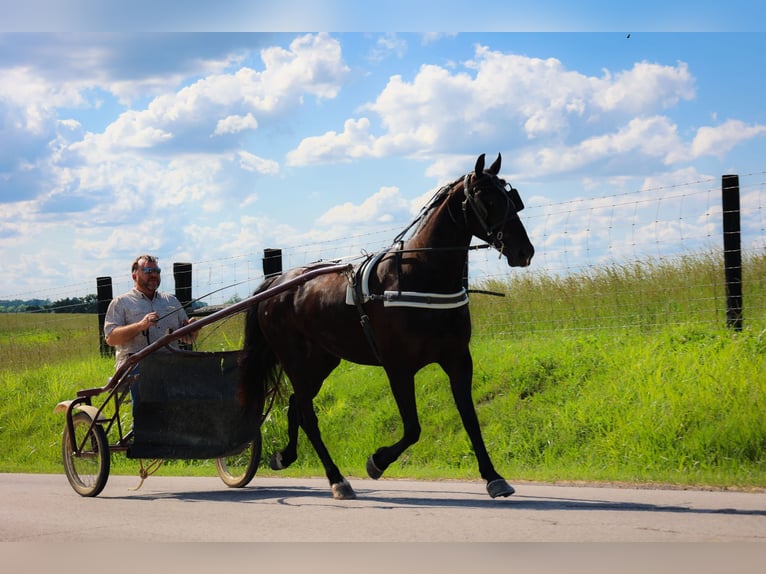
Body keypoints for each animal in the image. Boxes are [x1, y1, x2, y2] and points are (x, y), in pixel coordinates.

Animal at [238, 153, 534, 499]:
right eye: (486, 200)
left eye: (511, 198)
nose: (524, 251)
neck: (421, 277)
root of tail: (277, 283)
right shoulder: (398, 368)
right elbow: (413, 428)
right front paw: (377, 462)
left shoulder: (458, 359)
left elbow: (470, 418)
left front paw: (493, 477)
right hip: (296, 361)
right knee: (307, 415)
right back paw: (336, 479)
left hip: (321, 362)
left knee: (297, 405)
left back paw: (286, 456)